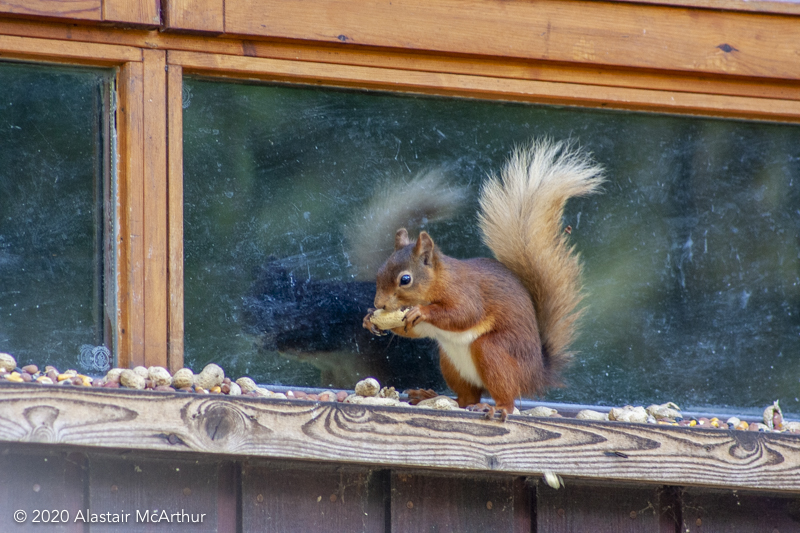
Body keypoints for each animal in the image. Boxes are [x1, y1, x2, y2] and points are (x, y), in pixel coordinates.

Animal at [360, 138, 600, 420]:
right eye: (379, 272)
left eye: (405, 279)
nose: (380, 304)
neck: (439, 281)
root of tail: (536, 375)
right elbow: (414, 331)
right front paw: (369, 319)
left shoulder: (465, 292)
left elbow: (464, 314)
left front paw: (422, 311)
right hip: (450, 362)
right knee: (466, 397)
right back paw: (429, 397)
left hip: (493, 351)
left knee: (505, 396)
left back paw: (496, 407)